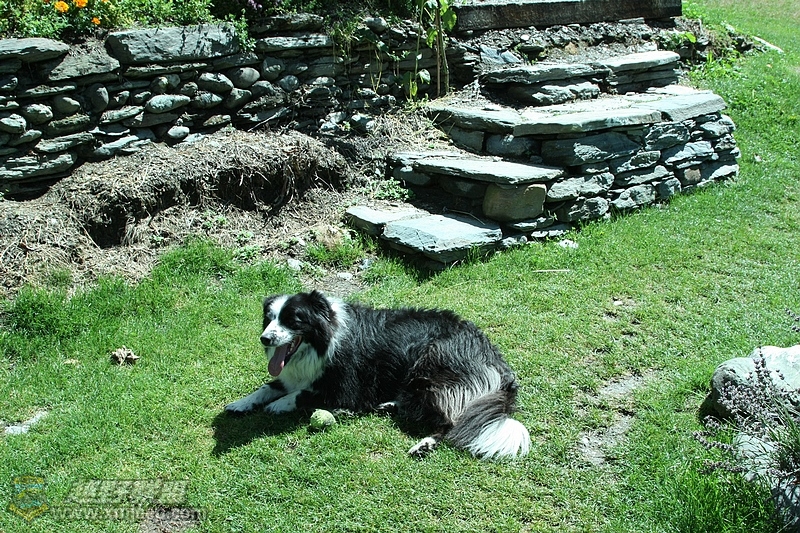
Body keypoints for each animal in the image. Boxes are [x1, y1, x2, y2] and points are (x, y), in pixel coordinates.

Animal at [225, 290, 530, 460]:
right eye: (269, 319)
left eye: (292, 320)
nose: (265, 339)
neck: (323, 339)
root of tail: (494, 357)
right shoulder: (294, 375)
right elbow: (266, 387)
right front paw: (240, 403)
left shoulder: (345, 385)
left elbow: (301, 394)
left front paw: (278, 405)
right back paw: (387, 405)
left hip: (430, 374)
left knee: (454, 422)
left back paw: (424, 443)